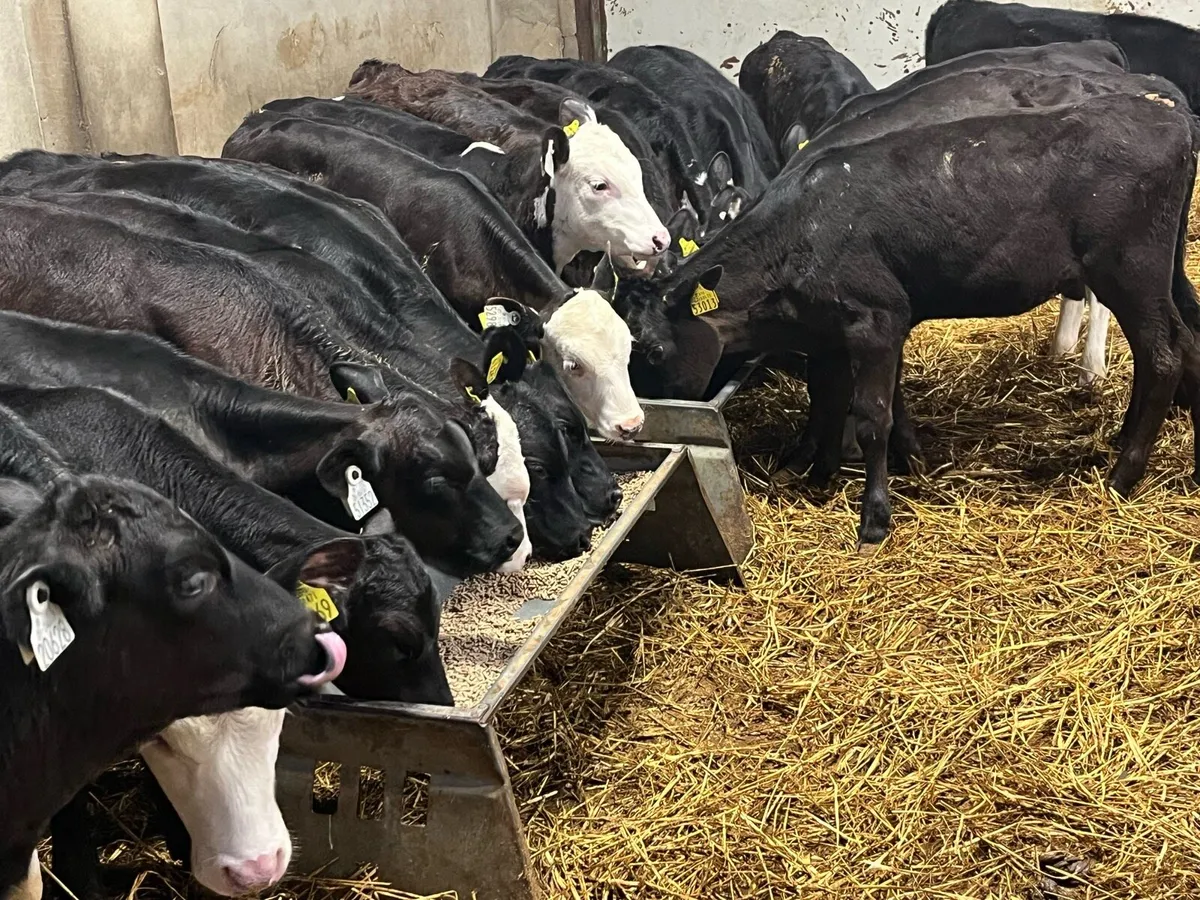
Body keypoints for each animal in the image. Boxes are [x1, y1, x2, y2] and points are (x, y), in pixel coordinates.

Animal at [614, 93, 1200, 548]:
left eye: (654, 351)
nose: (641, 423)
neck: (797, 232)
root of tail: (1168, 116)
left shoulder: (875, 316)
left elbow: (870, 415)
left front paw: (874, 516)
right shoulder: (854, 328)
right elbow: (857, 399)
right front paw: (873, 466)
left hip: (1130, 269)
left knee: (1164, 354)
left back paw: (1124, 475)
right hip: (1158, 272)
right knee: (1184, 342)